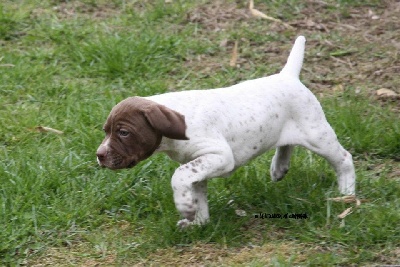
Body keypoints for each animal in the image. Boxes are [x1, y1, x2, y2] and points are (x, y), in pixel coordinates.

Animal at [97, 36, 356, 228]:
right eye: (106, 131)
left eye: (123, 132)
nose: (99, 155)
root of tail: (288, 76)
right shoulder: (199, 164)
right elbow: (196, 192)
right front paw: (198, 221)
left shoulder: (219, 157)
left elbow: (179, 176)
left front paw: (185, 208)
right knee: (285, 143)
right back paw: (279, 167)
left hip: (316, 134)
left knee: (344, 159)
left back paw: (347, 194)